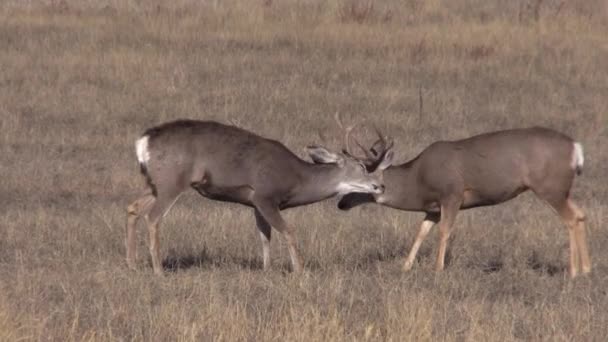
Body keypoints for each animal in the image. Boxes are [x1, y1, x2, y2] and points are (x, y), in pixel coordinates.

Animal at [128, 117, 394, 276]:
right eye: (361, 167)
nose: (380, 186)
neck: (296, 180)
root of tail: (143, 142)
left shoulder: (255, 204)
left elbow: (264, 236)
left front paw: (267, 269)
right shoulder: (265, 195)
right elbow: (287, 231)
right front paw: (299, 270)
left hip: (153, 183)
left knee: (132, 208)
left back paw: (133, 262)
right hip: (171, 180)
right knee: (152, 218)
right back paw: (159, 270)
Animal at [338, 125, 588, 278]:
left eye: (361, 179)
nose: (341, 204)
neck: (417, 180)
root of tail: (576, 148)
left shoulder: (452, 194)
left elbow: (444, 231)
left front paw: (437, 269)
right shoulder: (433, 208)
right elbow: (421, 232)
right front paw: (405, 267)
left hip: (549, 186)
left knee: (571, 218)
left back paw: (574, 271)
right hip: (561, 189)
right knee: (581, 214)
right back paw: (587, 269)